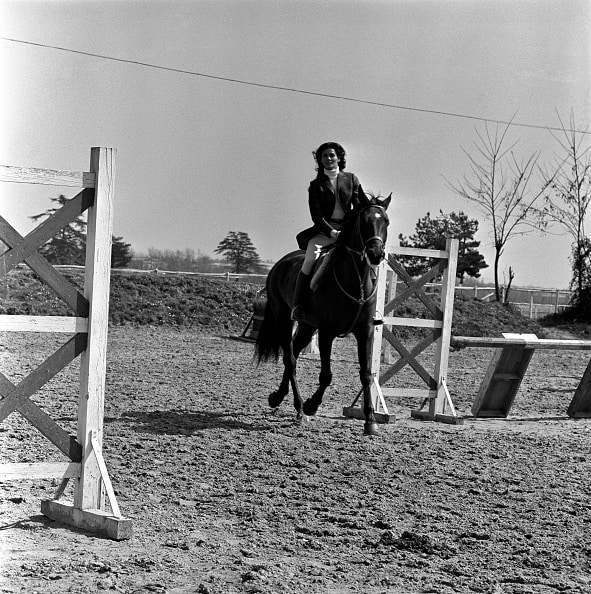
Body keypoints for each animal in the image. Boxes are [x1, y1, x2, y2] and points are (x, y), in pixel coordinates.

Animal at [256, 192, 390, 432]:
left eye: (386, 222)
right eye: (364, 221)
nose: (376, 254)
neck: (356, 282)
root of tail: (280, 263)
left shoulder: (364, 332)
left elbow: (366, 374)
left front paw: (370, 421)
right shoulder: (327, 332)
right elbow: (326, 375)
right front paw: (312, 405)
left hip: (307, 326)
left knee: (294, 352)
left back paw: (279, 397)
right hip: (284, 318)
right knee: (290, 358)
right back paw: (300, 408)